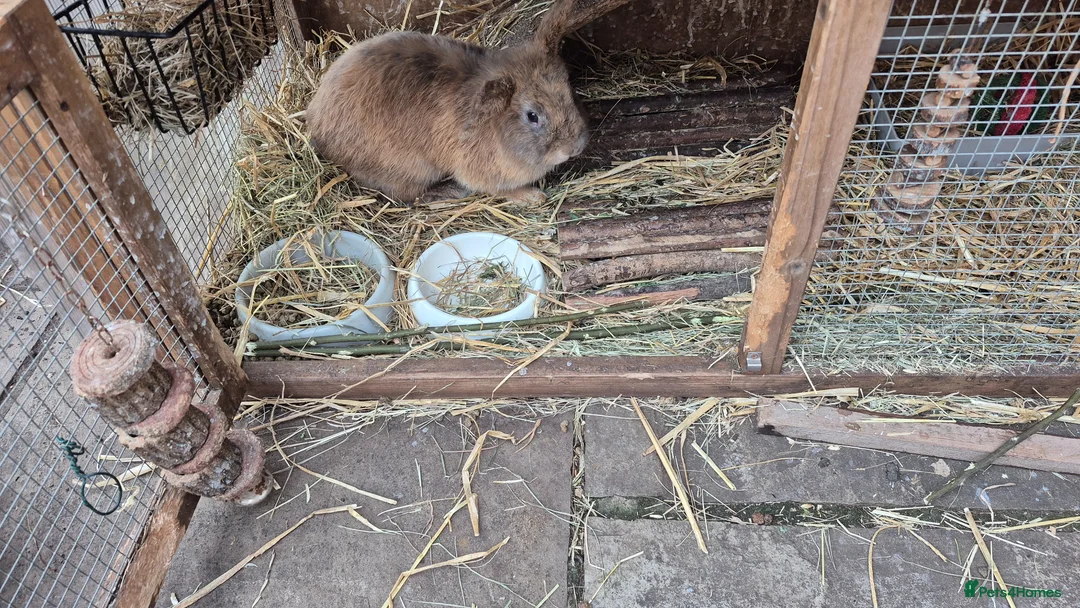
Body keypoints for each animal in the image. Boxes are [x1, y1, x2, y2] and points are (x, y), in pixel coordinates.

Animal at [305, 0, 590, 206]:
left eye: (569, 91)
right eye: (532, 116)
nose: (574, 148)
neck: (497, 129)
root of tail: (317, 126)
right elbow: (499, 190)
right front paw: (533, 197)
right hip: (413, 170)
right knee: (409, 195)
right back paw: (448, 193)